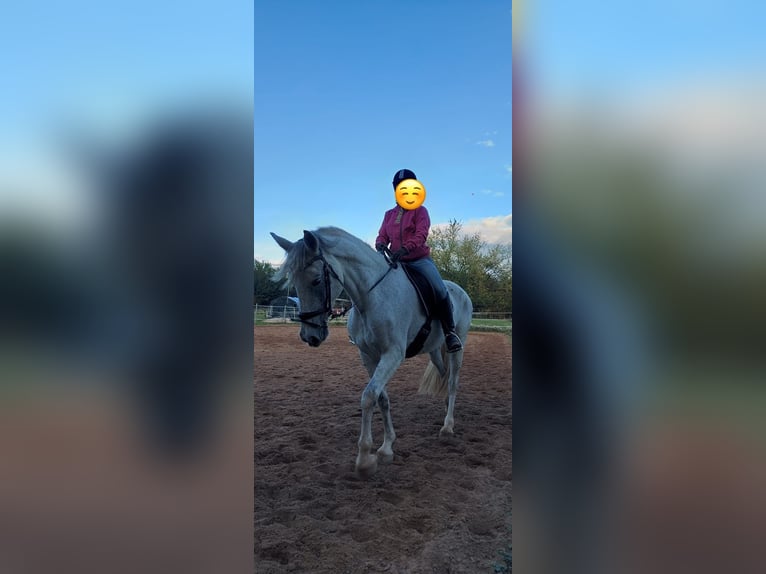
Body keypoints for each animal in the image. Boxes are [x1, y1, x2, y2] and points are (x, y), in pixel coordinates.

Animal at [271, 226, 472, 478]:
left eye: (316, 280)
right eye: (294, 281)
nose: (310, 336)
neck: (372, 298)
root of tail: (459, 290)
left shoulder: (392, 355)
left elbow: (368, 397)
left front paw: (365, 458)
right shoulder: (368, 356)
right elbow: (381, 398)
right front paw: (386, 448)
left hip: (457, 347)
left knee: (453, 382)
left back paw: (448, 426)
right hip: (435, 351)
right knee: (443, 376)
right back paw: (445, 410)